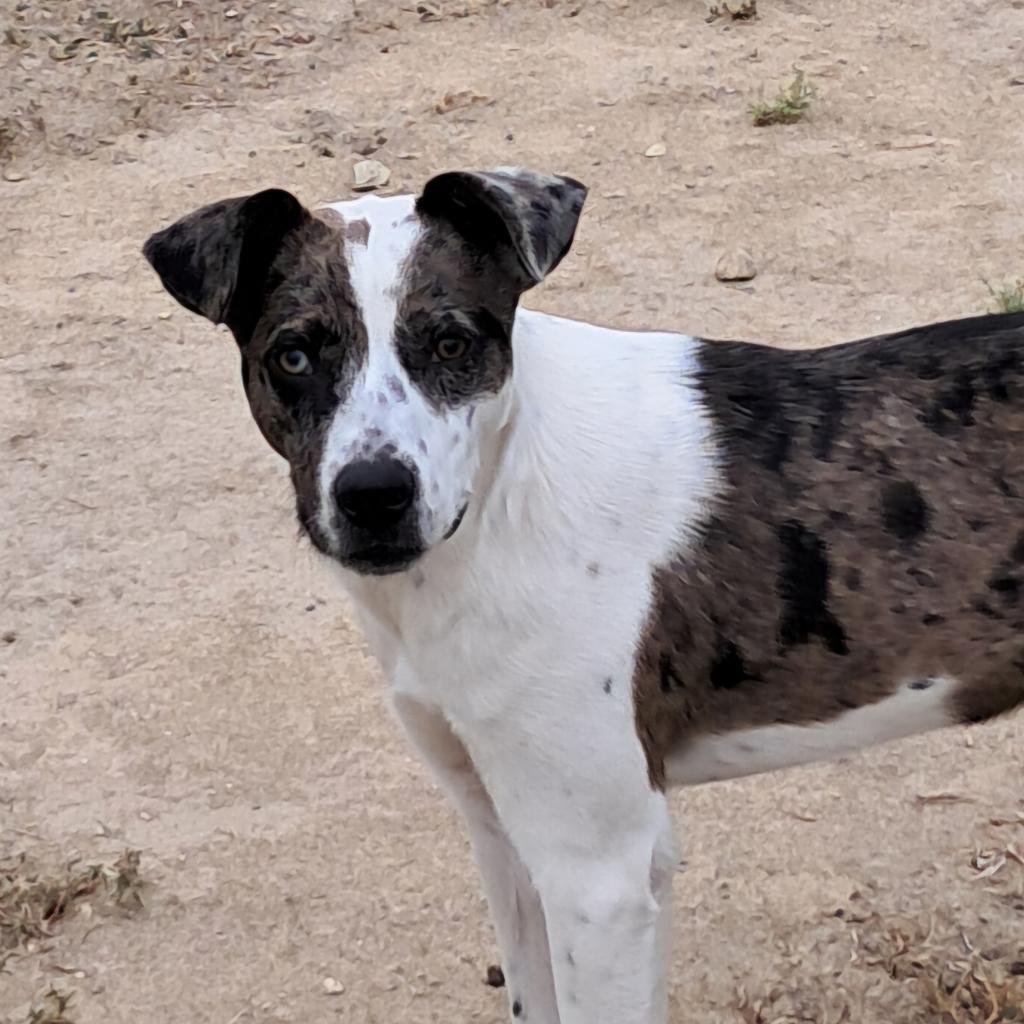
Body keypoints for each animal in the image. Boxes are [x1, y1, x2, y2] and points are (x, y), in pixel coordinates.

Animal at [144, 169, 1024, 1024]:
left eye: (452, 342)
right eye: (294, 356)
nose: (374, 495)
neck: (501, 499)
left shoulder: (600, 875)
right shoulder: (503, 832)